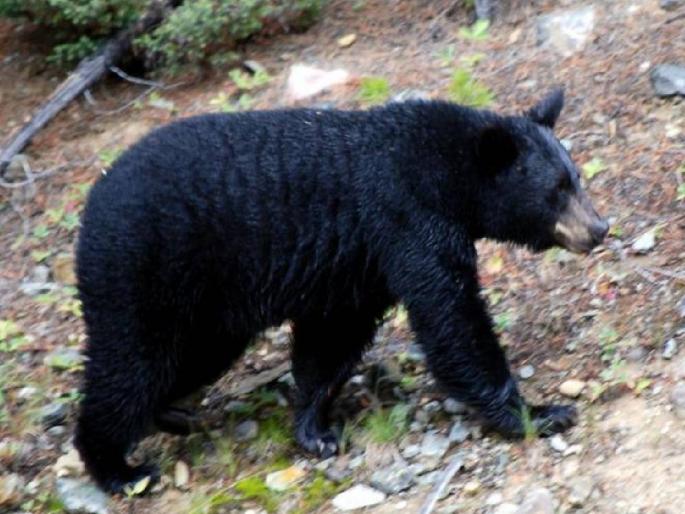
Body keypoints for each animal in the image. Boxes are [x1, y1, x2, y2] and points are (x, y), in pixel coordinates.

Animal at [74, 88, 608, 493]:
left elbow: (332, 340)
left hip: (207, 306)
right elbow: (453, 321)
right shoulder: (409, 220)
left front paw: (315, 429)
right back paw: (118, 469)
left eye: (576, 176)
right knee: (131, 365)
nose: (599, 228)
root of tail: (93, 201)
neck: (447, 174)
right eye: (556, 190)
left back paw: (172, 413)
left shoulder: (359, 265)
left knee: (191, 358)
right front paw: (539, 413)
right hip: (142, 270)